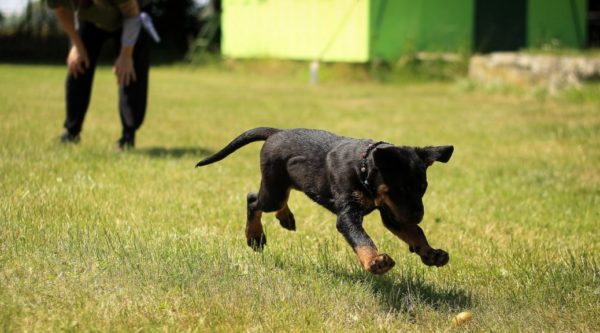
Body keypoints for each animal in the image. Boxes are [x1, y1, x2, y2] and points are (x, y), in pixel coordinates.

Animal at [197, 127, 454, 272]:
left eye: (423, 188)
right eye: (400, 188)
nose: (418, 215)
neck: (363, 168)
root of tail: (276, 132)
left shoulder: (392, 213)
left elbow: (415, 232)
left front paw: (431, 253)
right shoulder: (349, 214)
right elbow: (362, 238)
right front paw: (375, 262)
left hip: (286, 184)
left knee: (279, 199)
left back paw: (286, 218)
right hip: (273, 190)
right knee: (253, 200)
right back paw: (255, 236)